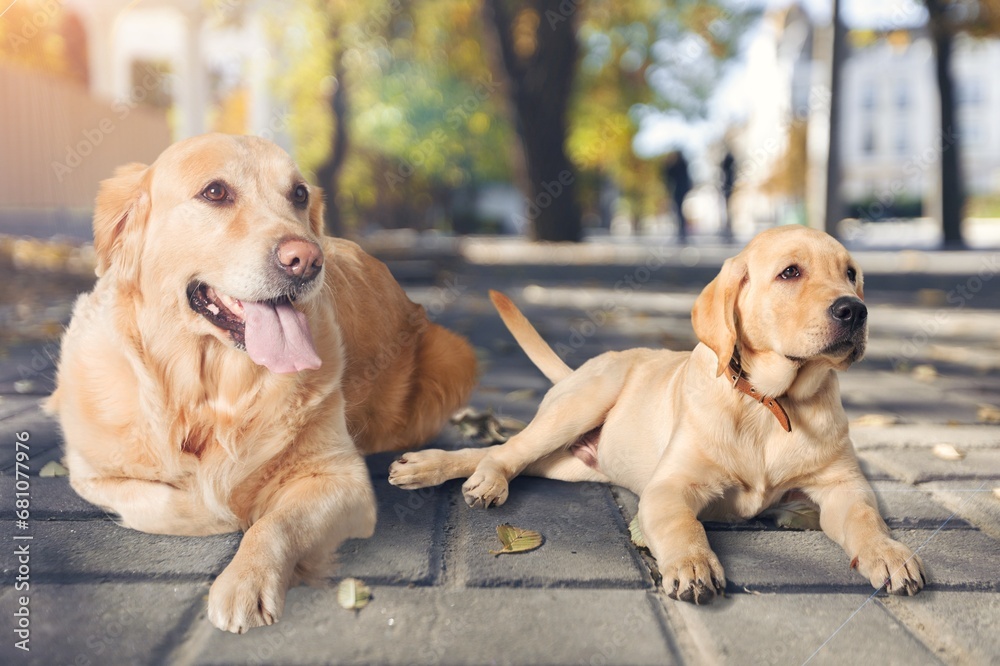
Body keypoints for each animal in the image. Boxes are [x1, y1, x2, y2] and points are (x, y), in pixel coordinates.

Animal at [48, 132, 478, 632]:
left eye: (299, 194)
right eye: (215, 192)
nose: (306, 259)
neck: (209, 393)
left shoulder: (340, 478)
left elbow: (277, 522)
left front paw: (246, 578)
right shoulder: (90, 471)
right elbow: (173, 503)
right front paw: (226, 510)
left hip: (453, 356)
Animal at [386, 227, 924, 600]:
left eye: (851, 273)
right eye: (790, 272)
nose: (855, 310)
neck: (772, 402)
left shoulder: (842, 486)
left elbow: (867, 519)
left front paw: (888, 553)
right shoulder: (670, 488)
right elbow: (686, 527)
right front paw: (692, 565)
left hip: (568, 464)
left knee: (503, 453)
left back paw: (430, 467)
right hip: (581, 404)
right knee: (505, 451)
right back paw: (468, 476)